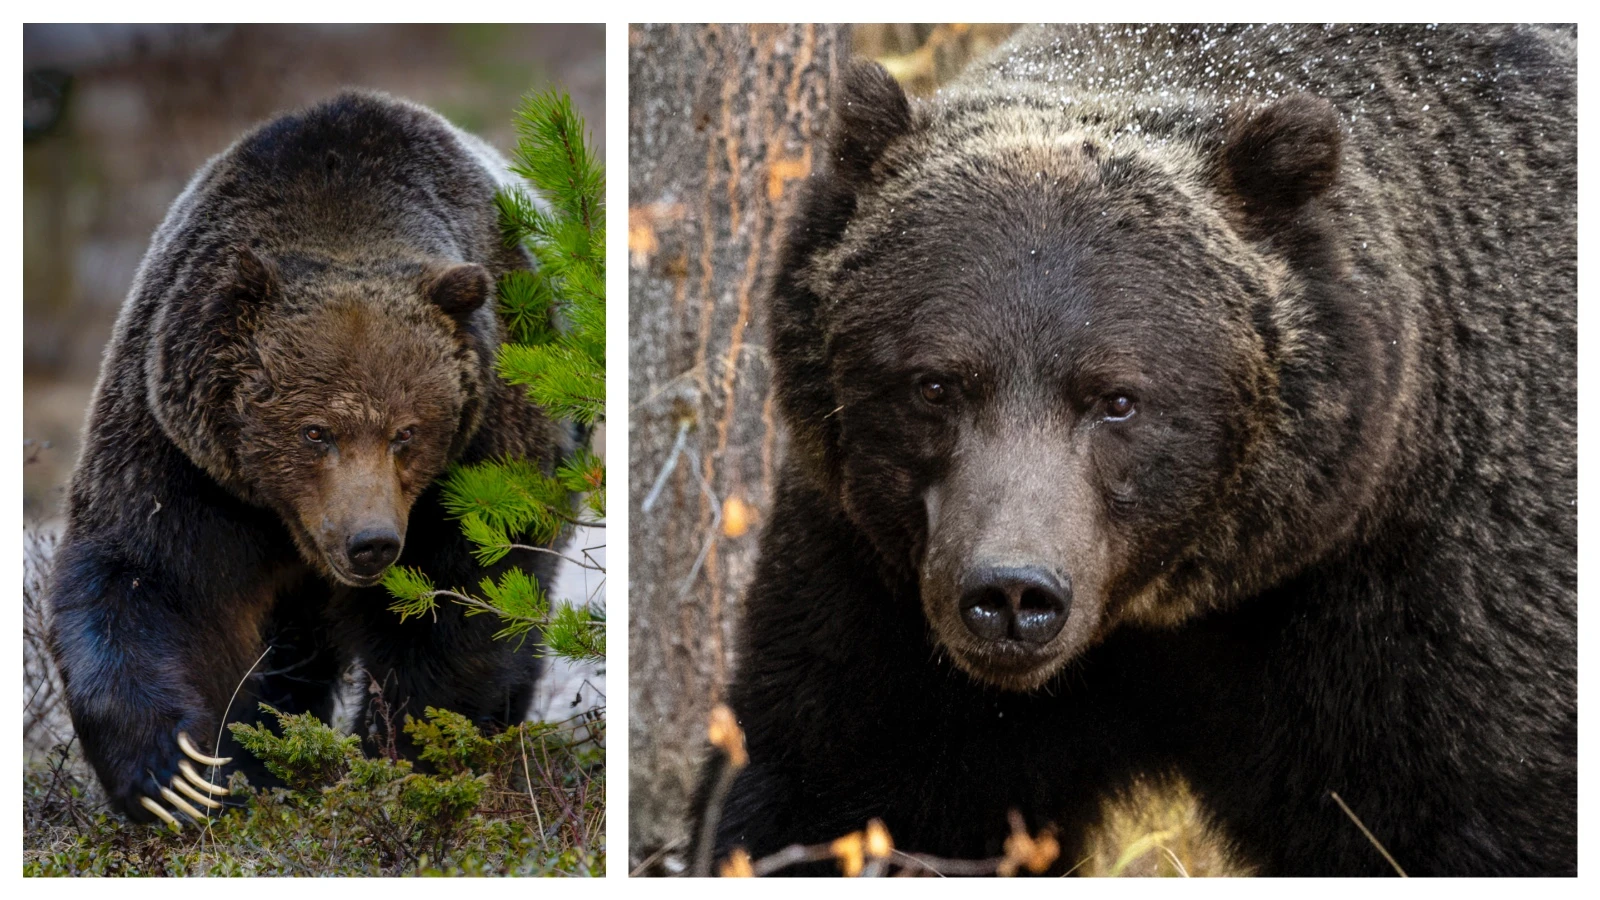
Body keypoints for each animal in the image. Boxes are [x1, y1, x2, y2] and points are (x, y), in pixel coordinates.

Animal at [47, 91, 573, 828]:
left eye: (406, 432)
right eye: (315, 431)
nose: (370, 542)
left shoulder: (485, 446)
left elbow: (466, 598)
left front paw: (405, 753)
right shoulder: (184, 455)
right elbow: (149, 579)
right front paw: (182, 775)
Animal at [696, 24, 1576, 876]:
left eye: (1117, 398)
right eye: (935, 384)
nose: (1011, 594)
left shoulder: (1421, 610)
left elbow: (1456, 822)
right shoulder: (880, 590)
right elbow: (839, 789)